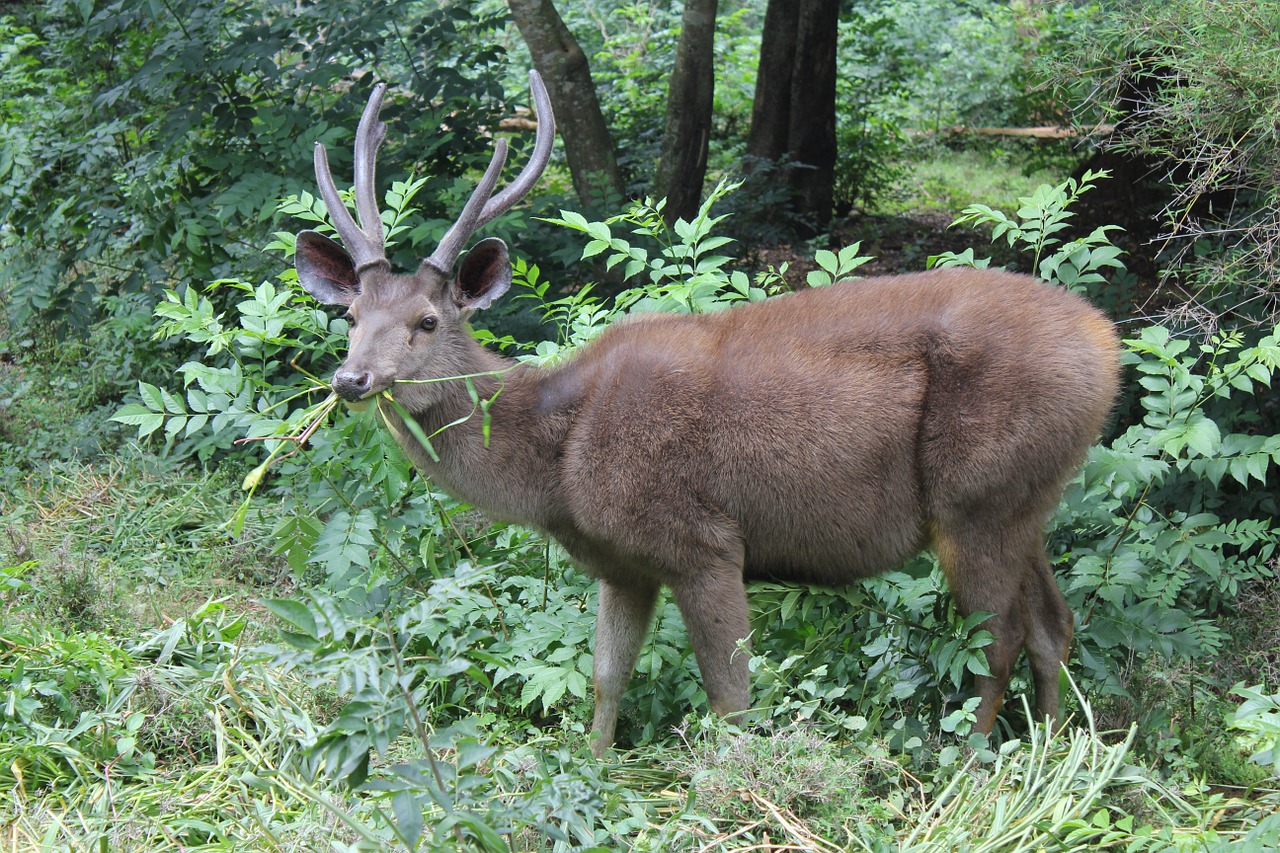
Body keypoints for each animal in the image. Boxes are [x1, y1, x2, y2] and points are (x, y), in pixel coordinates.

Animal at [293, 71, 1121, 753]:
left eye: (428, 320)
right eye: (351, 314)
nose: (351, 377)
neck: (560, 463)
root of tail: (1106, 343)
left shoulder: (703, 539)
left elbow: (731, 698)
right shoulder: (624, 563)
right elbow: (606, 675)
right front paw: (596, 767)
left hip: (977, 493)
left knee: (998, 638)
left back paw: (976, 765)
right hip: (1026, 494)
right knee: (1054, 623)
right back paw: (1052, 755)